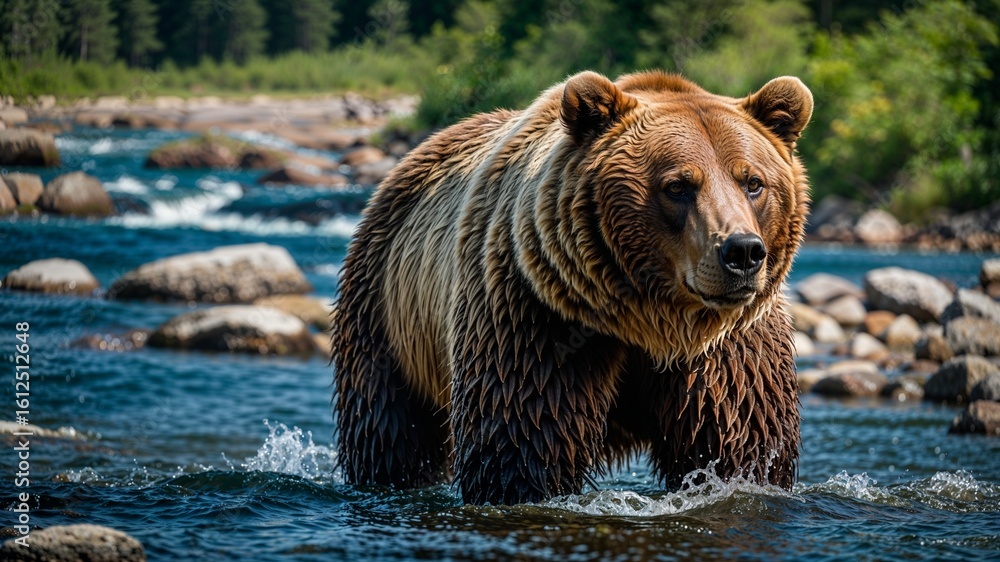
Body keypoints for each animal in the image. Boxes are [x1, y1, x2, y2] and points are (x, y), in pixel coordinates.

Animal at [332, 69, 812, 505]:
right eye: (678, 185)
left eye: (753, 182)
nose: (742, 252)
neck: (649, 319)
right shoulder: (537, 313)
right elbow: (522, 440)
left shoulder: (729, 347)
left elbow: (739, 440)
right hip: (386, 310)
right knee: (388, 428)